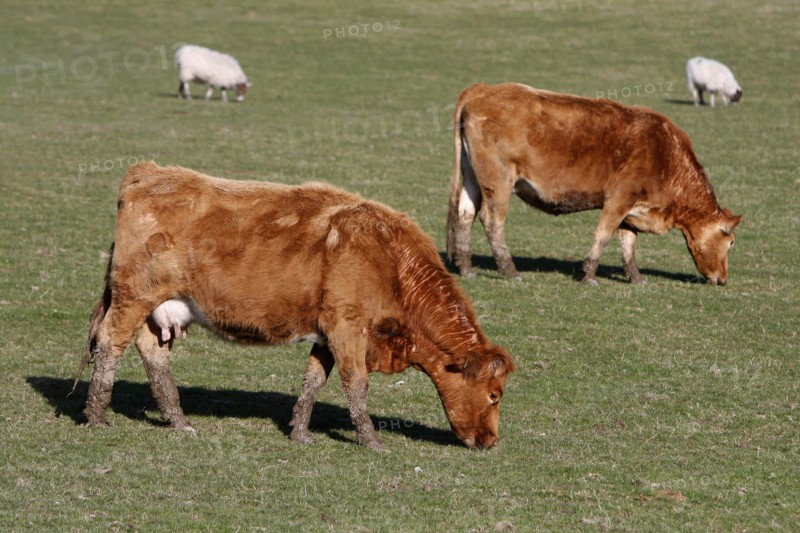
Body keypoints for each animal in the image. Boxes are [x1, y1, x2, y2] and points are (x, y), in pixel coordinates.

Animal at [74, 162, 515, 451]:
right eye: (494, 395)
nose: (490, 441)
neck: (390, 259)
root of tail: (147, 173)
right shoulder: (348, 326)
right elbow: (357, 384)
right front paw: (372, 440)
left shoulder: (328, 331)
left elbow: (313, 380)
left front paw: (300, 432)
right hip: (133, 297)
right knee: (110, 345)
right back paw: (96, 417)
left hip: (162, 307)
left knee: (153, 355)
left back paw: (179, 422)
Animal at [446, 83, 742, 286]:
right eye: (730, 243)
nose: (723, 279)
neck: (665, 154)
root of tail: (481, 90)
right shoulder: (619, 198)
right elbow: (603, 234)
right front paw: (589, 274)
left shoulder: (632, 208)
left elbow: (628, 243)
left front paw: (635, 277)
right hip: (498, 180)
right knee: (492, 220)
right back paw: (509, 270)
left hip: (472, 178)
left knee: (465, 214)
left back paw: (466, 268)